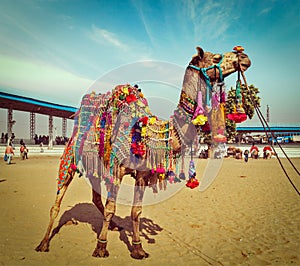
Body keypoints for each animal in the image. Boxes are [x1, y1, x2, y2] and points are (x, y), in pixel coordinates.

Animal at [35, 46, 251, 260]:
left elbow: (136, 211)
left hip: (93, 166)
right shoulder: (116, 170)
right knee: (58, 200)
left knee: (95, 197)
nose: (243, 56)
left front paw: (138, 249)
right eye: (216, 57)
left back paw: (114, 227)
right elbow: (112, 208)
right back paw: (43, 243)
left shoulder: (142, 174)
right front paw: (101, 247)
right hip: (70, 157)